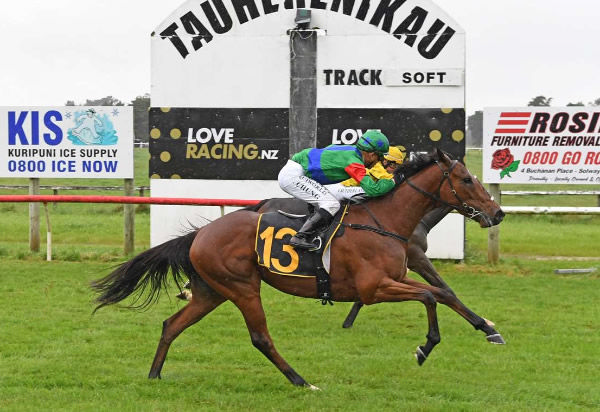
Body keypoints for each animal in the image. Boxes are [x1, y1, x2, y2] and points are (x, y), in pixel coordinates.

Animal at [92, 150, 506, 388]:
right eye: (466, 179)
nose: (498, 212)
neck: (384, 220)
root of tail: (200, 233)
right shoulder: (375, 288)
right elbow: (429, 296)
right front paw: (425, 347)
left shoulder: (398, 276)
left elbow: (442, 293)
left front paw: (488, 329)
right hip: (242, 287)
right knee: (260, 338)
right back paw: (301, 381)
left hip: (211, 292)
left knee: (171, 325)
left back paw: (154, 375)